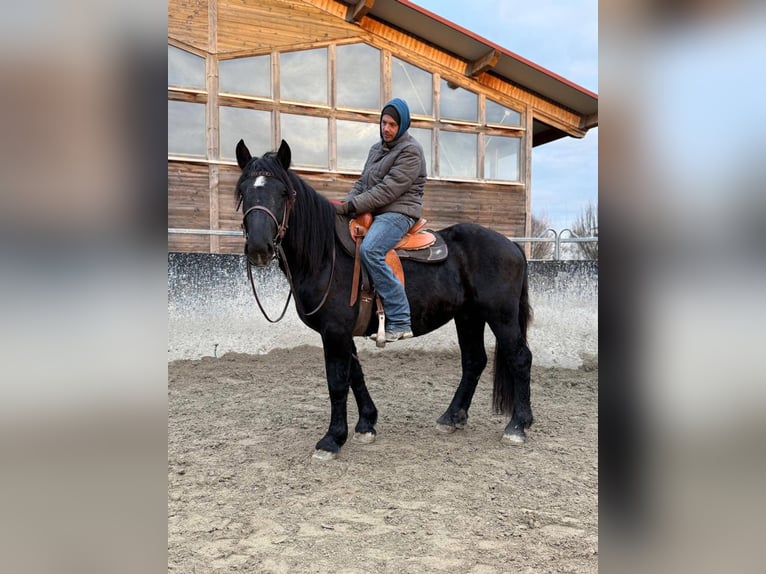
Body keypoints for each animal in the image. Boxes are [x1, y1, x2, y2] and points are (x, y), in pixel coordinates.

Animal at [235, 139, 533, 460]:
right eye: (243, 191)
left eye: (283, 193)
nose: (259, 248)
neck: (325, 255)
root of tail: (512, 245)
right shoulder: (341, 333)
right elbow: (355, 375)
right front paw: (366, 424)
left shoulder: (334, 332)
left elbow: (337, 382)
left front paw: (331, 439)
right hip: (468, 317)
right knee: (474, 361)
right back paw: (452, 417)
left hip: (501, 316)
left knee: (520, 358)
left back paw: (517, 426)